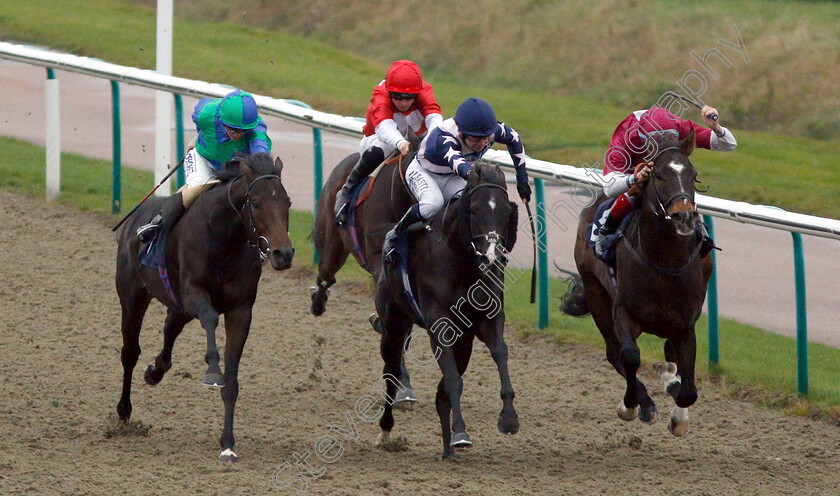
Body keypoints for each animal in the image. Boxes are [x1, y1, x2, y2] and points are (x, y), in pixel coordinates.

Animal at [113, 153, 294, 464]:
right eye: (257, 203)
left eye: (288, 203)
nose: (284, 253)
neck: (225, 238)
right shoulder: (193, 292)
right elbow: (209, 318)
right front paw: (211, 371)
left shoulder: (240, 310)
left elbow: (232, 382)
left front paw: (228, 445)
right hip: (133, 296)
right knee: (130, 352)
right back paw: (124, 411)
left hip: (179, 307)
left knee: (169, 330)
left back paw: (155, 370)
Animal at [372, 164, 520, 462]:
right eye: (473, 209)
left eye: (506, 211)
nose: (492, 256)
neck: (461, 260)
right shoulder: (440, 325)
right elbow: (452, 381)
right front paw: (461, 433)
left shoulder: (488, 319)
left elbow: (500, 352)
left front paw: (509, 417)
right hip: (394, 327)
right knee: (391, 375)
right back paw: (386, 431)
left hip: (464, 343)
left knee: (441, 394)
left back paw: (446, 449)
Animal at [560, 130, 712, 436]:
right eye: (659, 175)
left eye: (693, 175)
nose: (684, 216)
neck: (664, 261)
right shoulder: (623, 311)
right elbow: (629, 356)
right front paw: (633, 405)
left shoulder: (685, 323)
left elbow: (688, 389)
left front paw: (678, 414)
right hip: (595, 293)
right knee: (613, 352)